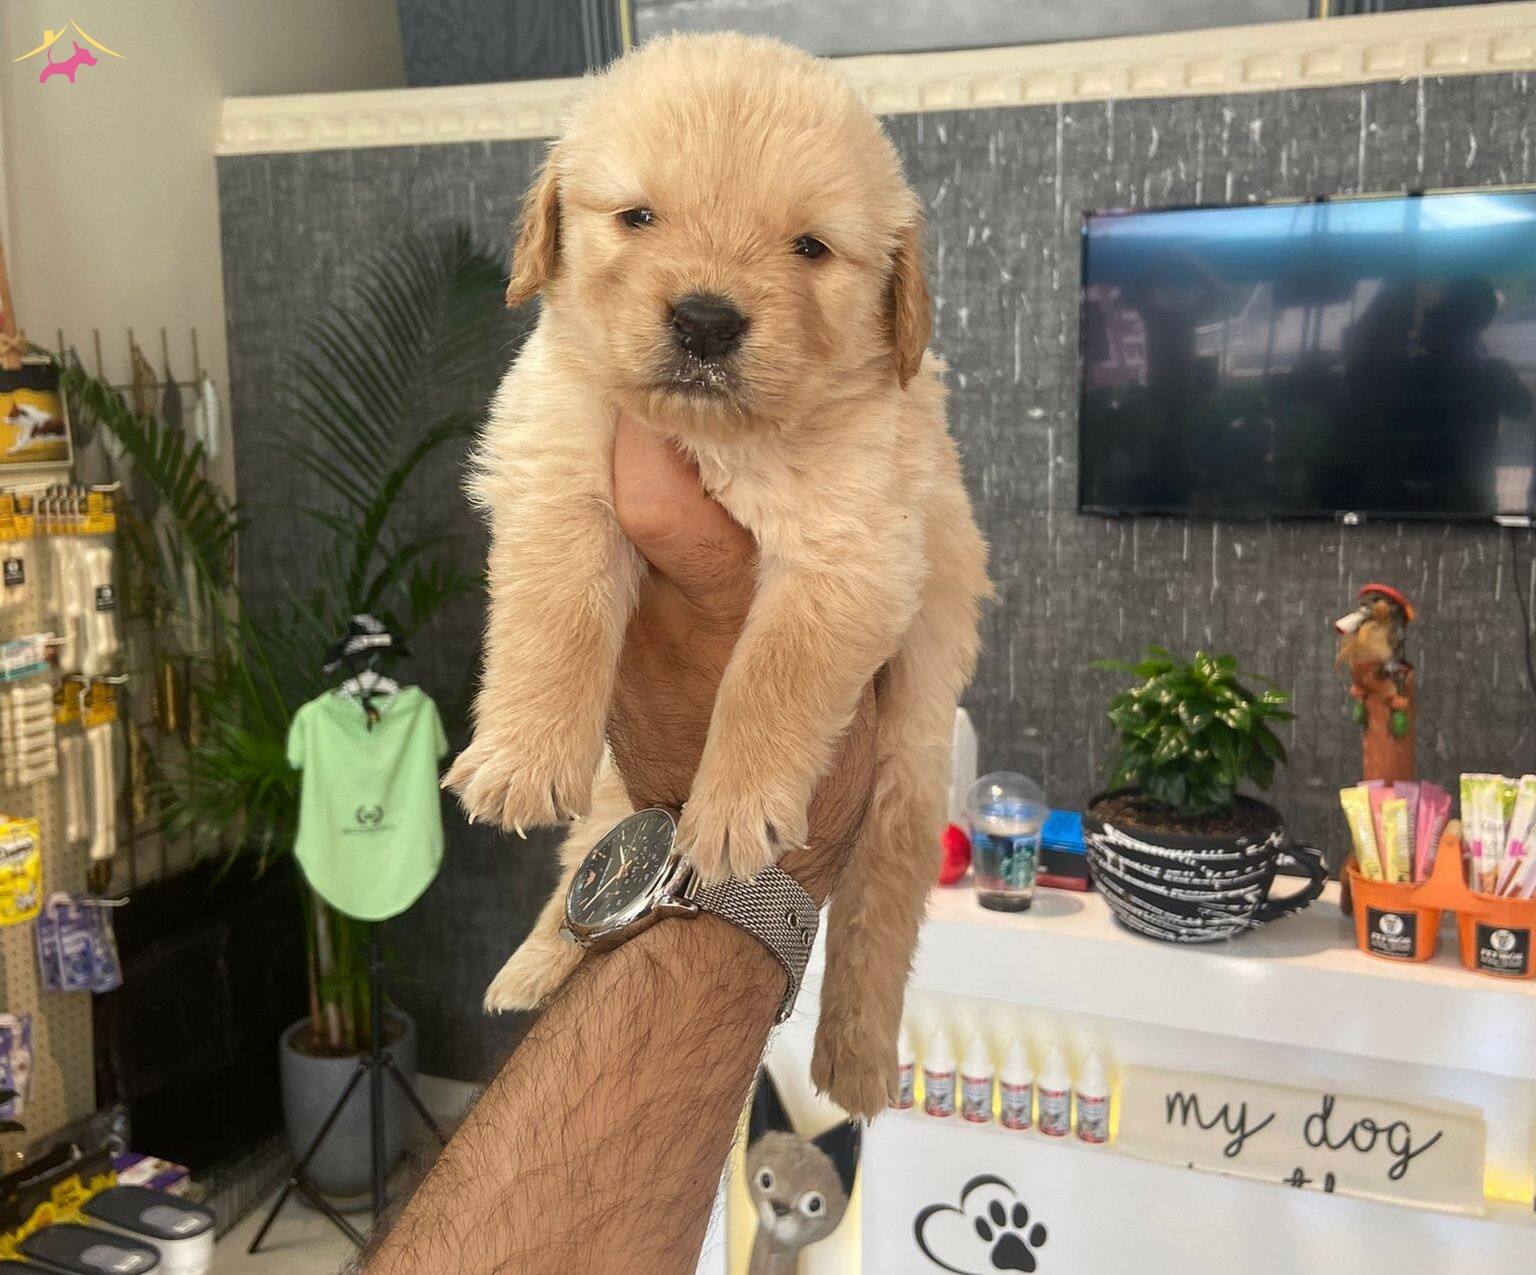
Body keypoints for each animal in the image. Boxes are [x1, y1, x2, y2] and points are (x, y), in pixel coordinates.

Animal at [445, 33, 989, 1119]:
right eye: (638, 217)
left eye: (810, 248)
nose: (704, 321)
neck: (716, 439)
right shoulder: (555, 461)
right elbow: (554, 611)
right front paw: (520, 755)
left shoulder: (851, 549)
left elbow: (769, 678)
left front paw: (735, 812)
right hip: (615, 788)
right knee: (590, 865)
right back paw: (532, 966)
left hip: (909, 760)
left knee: (879, 919)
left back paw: (855, 1064)